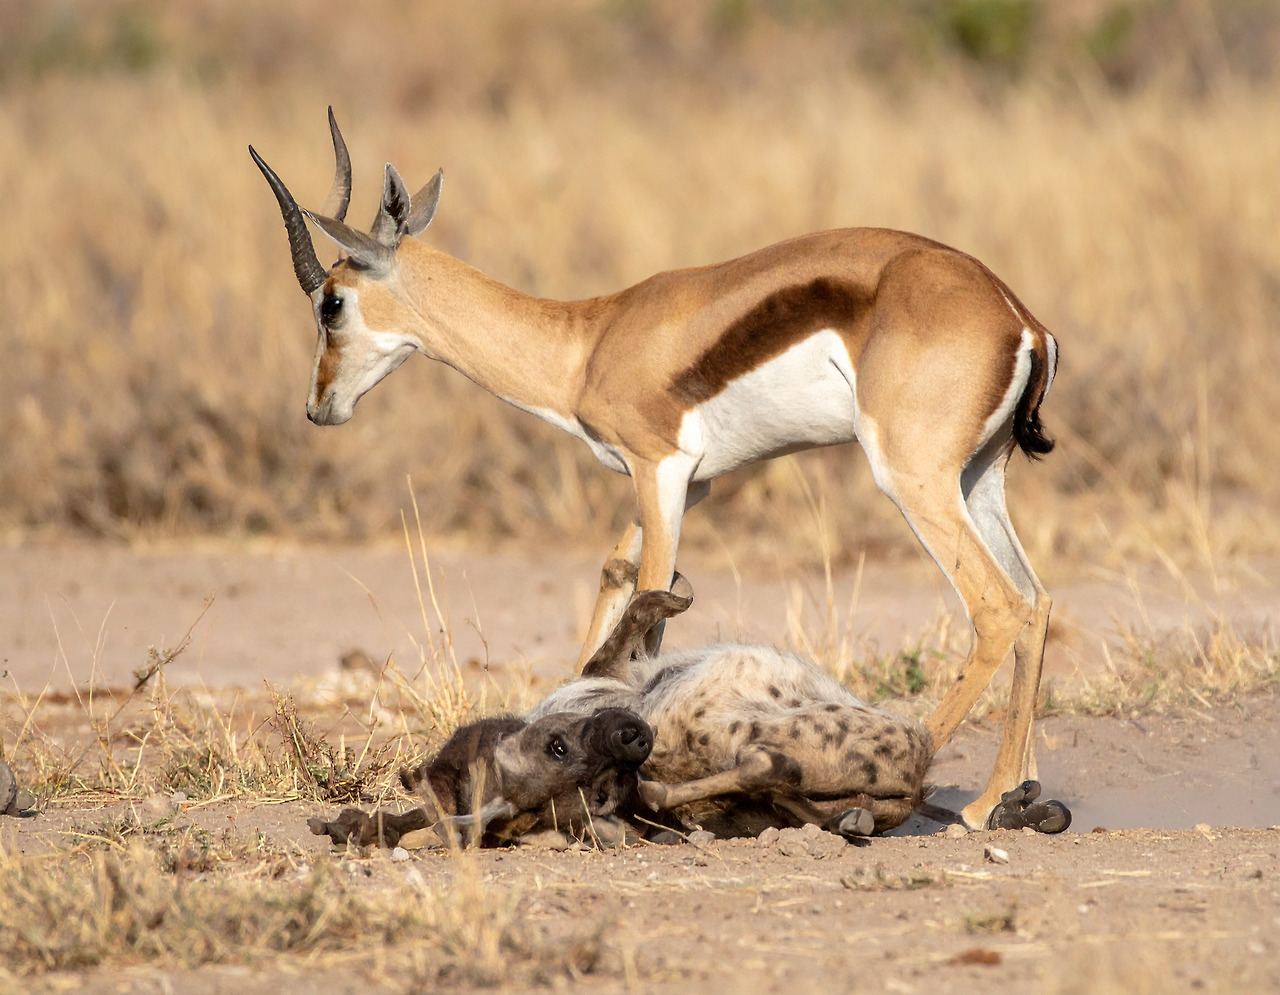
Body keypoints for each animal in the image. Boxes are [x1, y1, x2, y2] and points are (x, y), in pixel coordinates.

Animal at [251, 111, 1059, 831]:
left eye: (331, 303)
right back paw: (1017, 798)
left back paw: (938, 801)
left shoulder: (659, 468)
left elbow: (652, 589)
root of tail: (1019, 318)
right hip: (978, 479)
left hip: (911, 480)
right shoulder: (695, 482)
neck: (588, 341)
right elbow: (615, 571)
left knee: (996, 608)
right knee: (1036, 600)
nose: (318, 407)